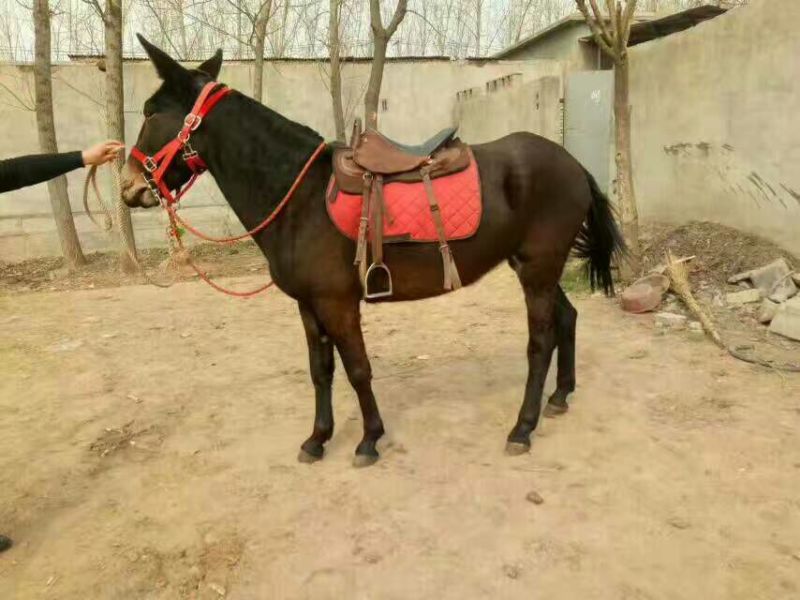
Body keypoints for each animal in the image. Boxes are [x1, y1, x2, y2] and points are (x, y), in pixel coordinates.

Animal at [120, 36, 625, 467]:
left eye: (149, 112)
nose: (127, 186)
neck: (298, 195)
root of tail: (573, 163)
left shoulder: (338, 303)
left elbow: (358, 369)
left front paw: (368, 439)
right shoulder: (309, 306)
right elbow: (321, 370)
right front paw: (317, 439)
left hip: (538, 270)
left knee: (540, 343)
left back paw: (523, 428)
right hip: (536, 267)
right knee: (567, 318)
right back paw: (559, 397)